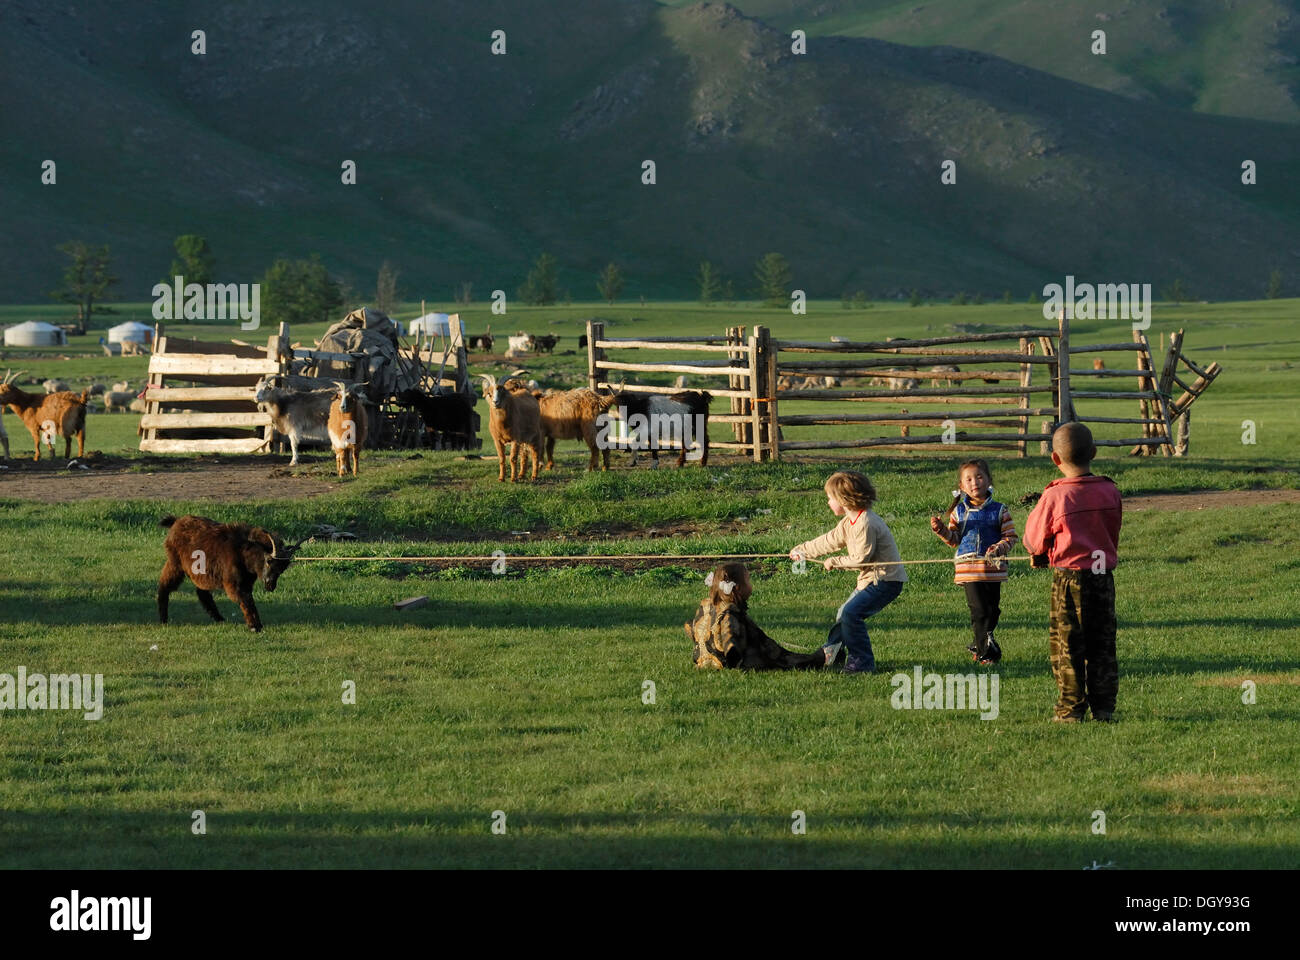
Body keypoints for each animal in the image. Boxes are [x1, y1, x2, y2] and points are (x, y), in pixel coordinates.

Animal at [155, 515, 304, 629]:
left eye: (282, 569)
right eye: (268, 560)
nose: (270, 585)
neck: (243, 550)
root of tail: (176, 521)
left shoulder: (246, 582)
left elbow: (248, 599)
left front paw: (255, 624)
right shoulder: (233, 583)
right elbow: (246, 600)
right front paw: (255, 626)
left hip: (200, 573)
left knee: (202, 593)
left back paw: (220, 619)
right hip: (175, 564)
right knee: (165, 585)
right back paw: (163, 619)